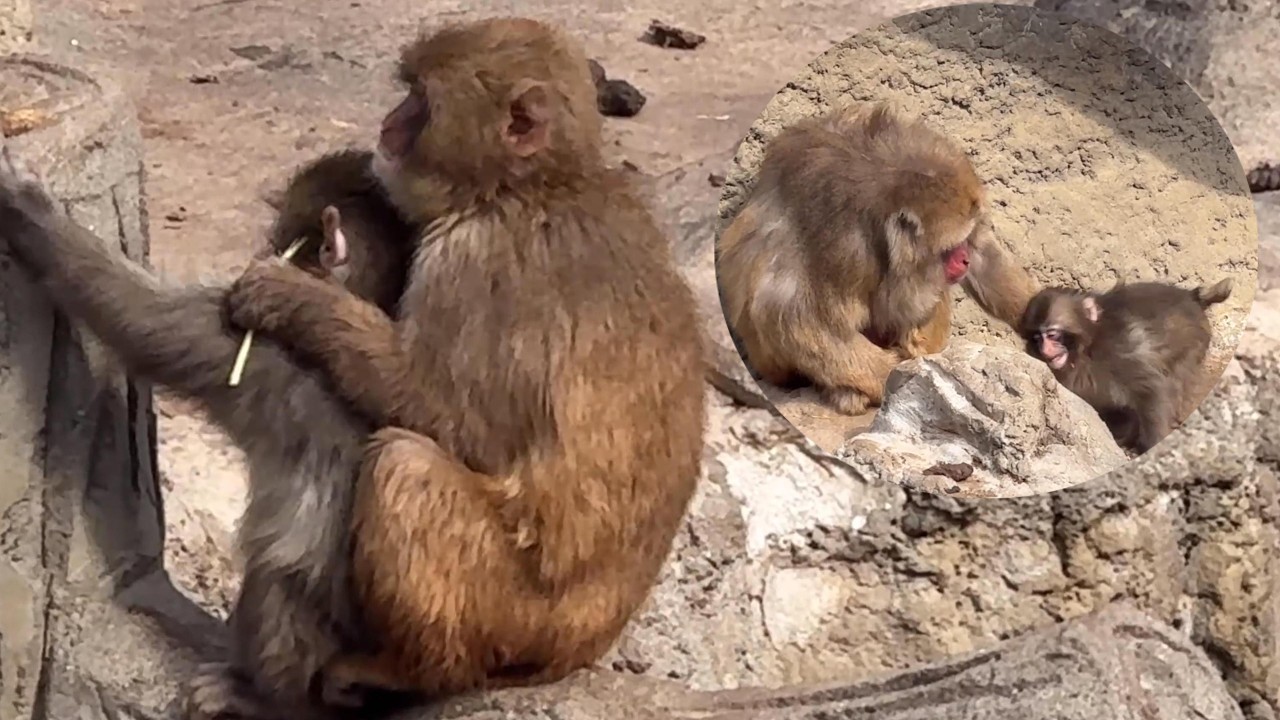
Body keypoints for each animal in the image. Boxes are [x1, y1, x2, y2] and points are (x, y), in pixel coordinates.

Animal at [0, 145, 420, 720]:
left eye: (280, 243)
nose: (258, 258)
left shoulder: (244, 341)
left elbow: (137, 314)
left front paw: (26, 211)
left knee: (275, 573)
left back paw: (258, 698)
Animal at [222, 17, 707, 704]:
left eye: (420, 102)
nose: (389, 125)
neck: (526, 187)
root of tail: (579, 650)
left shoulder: (472, 261)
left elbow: (442, 412)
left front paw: (292, 295)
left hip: (510, 616)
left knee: (405, 469)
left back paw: (406, 671)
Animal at [715, 102, 1040, 417]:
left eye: (965, 240)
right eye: (950, 248)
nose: (964, 261)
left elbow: (984, 254)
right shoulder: (844, 246)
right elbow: (793, 315)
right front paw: (896, 379)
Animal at [1018, 277, 1233, 454]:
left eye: (1052, 334)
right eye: (1037, 338)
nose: (1045, 350)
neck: (1088, 345)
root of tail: (1191, 296)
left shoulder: (1120, 350)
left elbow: (1152, 390)